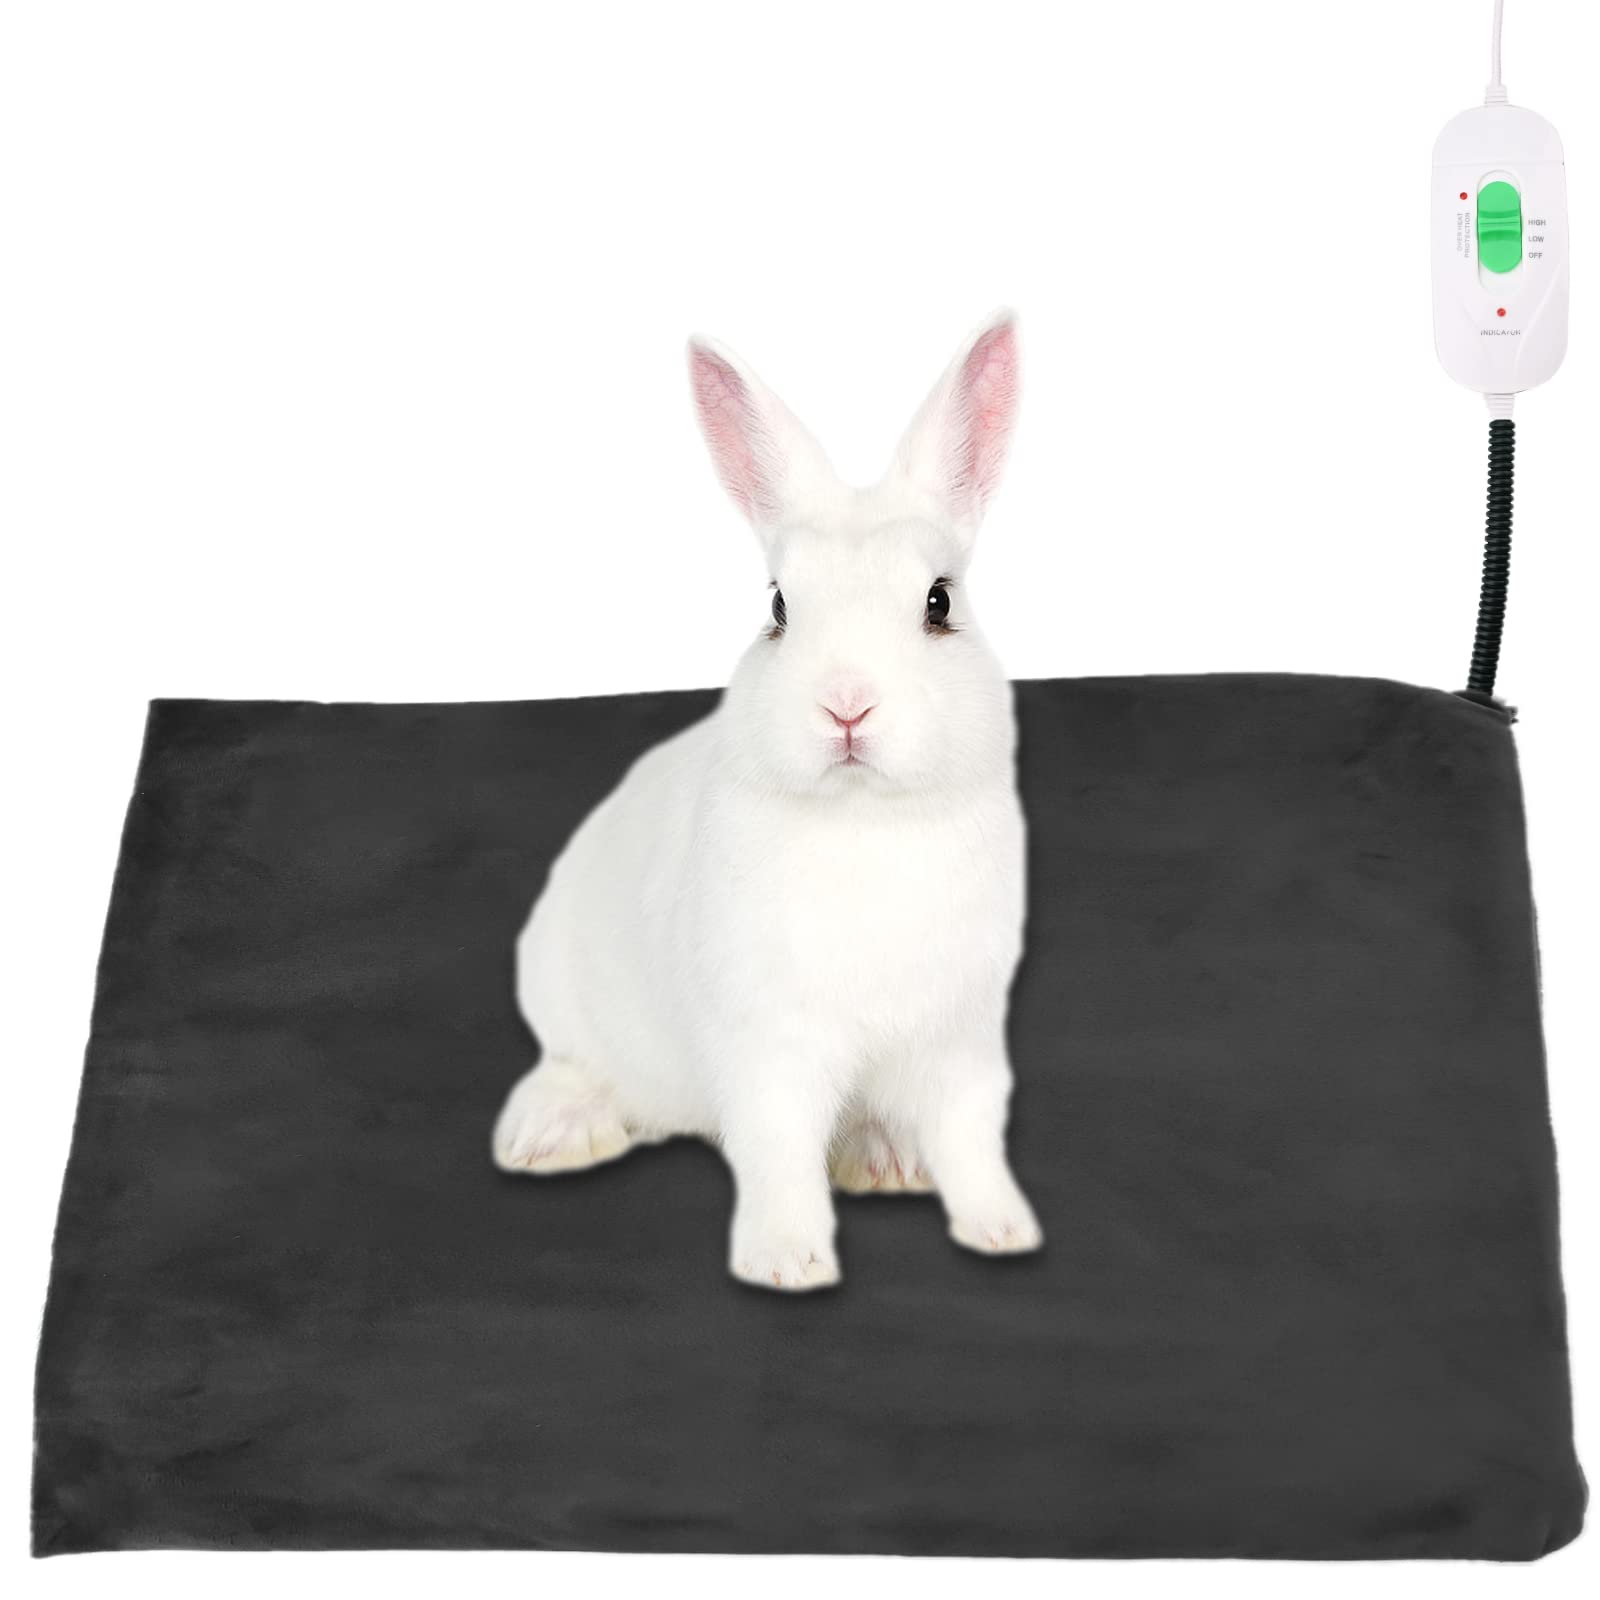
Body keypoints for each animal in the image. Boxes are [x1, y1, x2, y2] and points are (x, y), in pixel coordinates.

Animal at [493, 311, 1039, 1292]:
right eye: (779, 607)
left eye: (939, 602)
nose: (847, 704)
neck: (864, 818)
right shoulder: (769, 1044)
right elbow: (779, 1149)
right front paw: (788, 1263)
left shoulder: (961, 1037)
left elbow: (971, 1136)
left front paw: (1002, 1230)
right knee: (578, 1067)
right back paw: (552, 1134)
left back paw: (885, 1158)